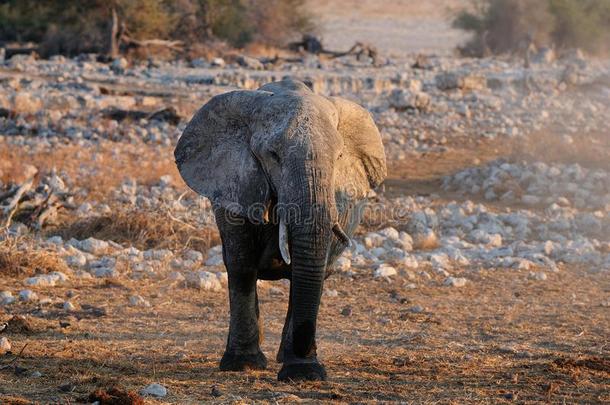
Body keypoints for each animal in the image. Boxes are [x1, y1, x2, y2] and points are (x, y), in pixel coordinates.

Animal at [173, 78, 384, 378]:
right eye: (273, 155)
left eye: (339, 156)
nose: (305, 354)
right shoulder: (235, 183)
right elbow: (241, 264)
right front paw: (243, 364)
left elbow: (309, 271)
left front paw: (303, 372)